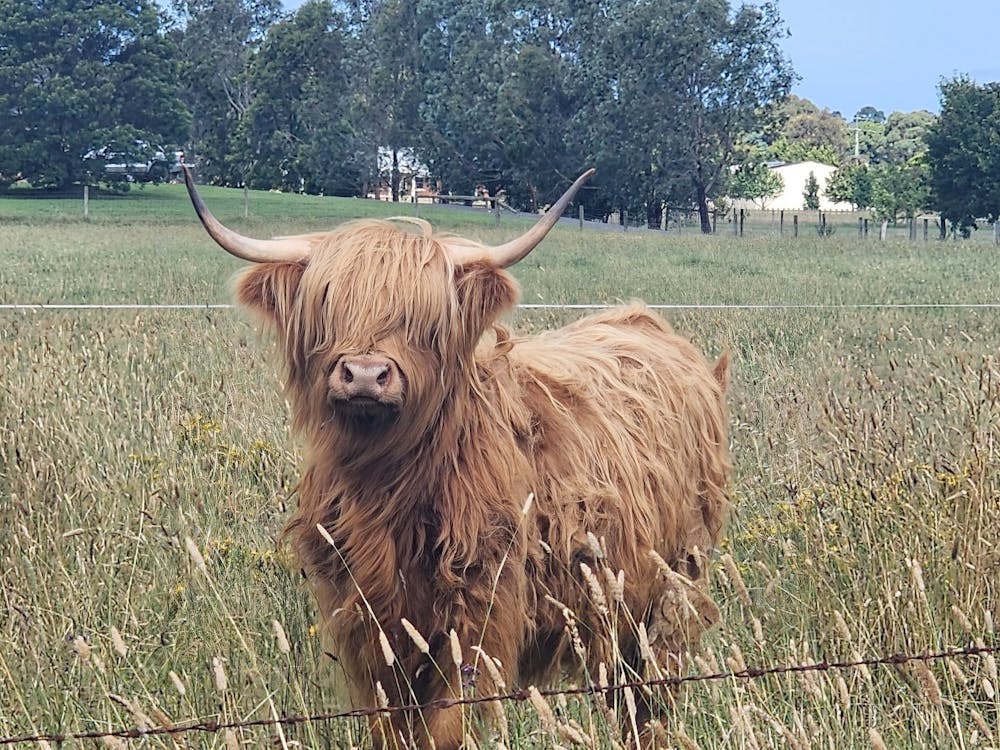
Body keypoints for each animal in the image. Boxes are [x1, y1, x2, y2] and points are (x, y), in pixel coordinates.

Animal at [182, 166, 730, 749]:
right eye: (327, 304)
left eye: (427, 319)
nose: (365, 375)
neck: (388, 489)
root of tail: (644, 322)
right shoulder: (368, 625)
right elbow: (390, 724)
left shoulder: (477, 616)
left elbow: (446, 724)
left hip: (671, 589)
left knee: (650, 695)